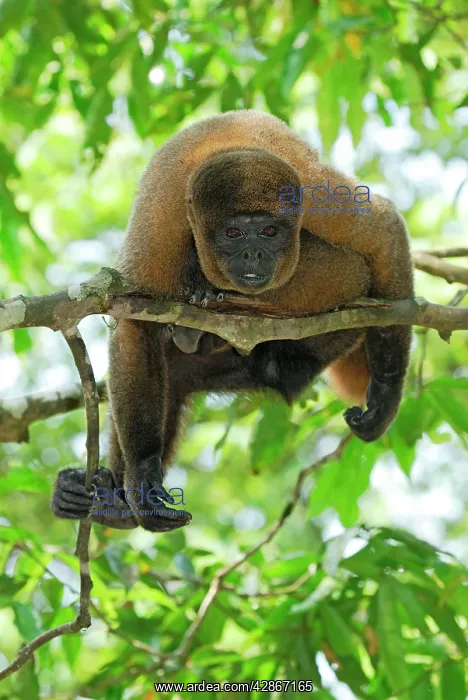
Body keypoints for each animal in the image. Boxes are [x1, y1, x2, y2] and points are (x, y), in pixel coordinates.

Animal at [52, 109, 413, 533]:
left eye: (270, 231)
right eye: (234, 232)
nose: (254, 255)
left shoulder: (316, 197)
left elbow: (383, 234)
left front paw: (386, 394)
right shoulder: (159, 225)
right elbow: (136, 324)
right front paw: (142, 477)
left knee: (353, 276)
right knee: (173, 375)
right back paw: (111, 504)